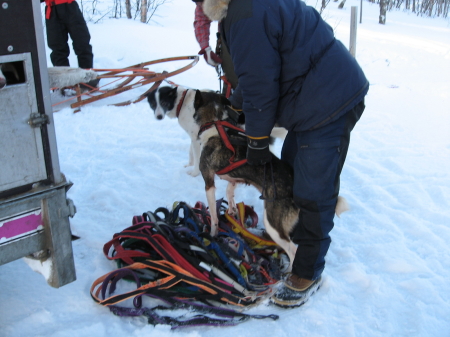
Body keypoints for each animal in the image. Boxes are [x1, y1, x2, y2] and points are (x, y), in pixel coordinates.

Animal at [146, 86, 346, 270]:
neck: (215, 124)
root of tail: (293, 187)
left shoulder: (209, 182)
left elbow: (213, 214)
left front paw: (213, 233)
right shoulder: (235, 179)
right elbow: (230, 192)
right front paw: (232, 211)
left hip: (272, 223)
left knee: (293, 250)